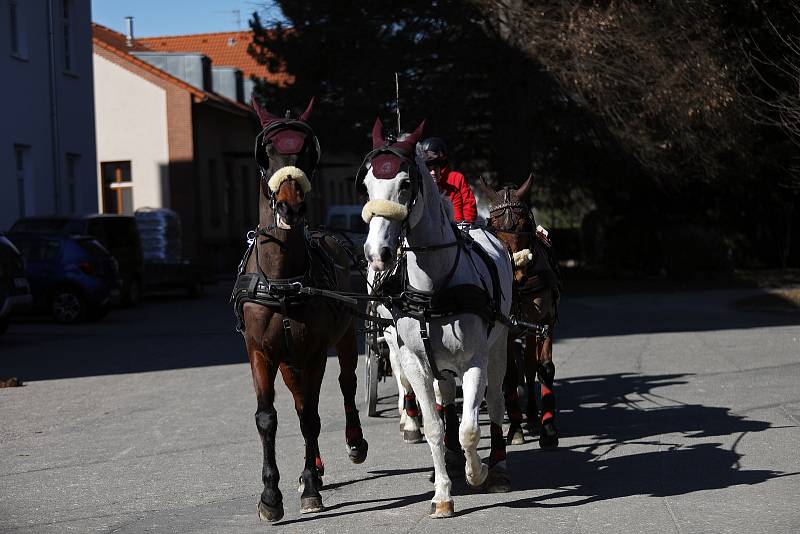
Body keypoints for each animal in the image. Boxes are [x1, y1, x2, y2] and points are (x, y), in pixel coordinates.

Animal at [231, 98, 368, 520]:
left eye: (307, 150)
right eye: (267, 151)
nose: (290, 206)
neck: (282, 279)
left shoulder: (313, 352)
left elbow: (310, 416)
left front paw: (309, 487)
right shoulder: (260, 352)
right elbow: (268, 418)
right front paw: (270, 496)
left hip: (342, 339)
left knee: (344, 384)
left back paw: (353, 444)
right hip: (287, 360)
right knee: (298, 398)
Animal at [358, 119, 510, 516]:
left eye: (405, 183)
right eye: (366, 185)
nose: (377, 253)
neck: (434, 288)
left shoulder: (474, 361)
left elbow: (470, 428)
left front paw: (476, 472)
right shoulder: (414, 360)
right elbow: (435, 427)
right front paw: (442, 494)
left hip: (500, 346)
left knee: (498, 401)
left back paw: (498, 466)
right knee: (444, 397)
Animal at [478, 177, 560, 452]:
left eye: (525, 224)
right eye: (493, 227)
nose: (518, 269)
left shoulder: (545, 322)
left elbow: (544, 368)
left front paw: (548, 429)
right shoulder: (506, 330)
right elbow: (510, 376)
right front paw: (514, 429)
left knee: (530, 366)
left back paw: (533, 417)